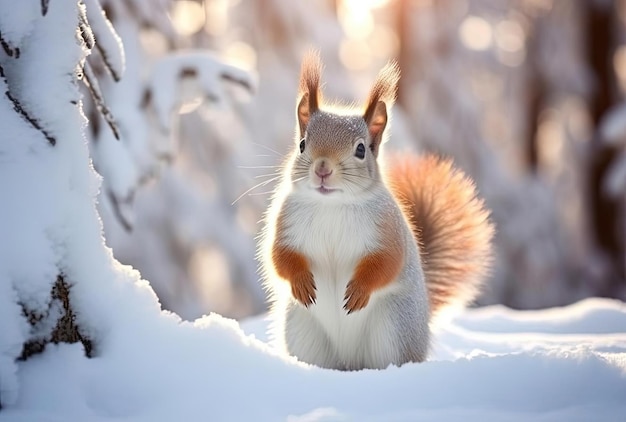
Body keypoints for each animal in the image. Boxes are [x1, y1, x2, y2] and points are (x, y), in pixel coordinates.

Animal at [258, 52, 492, 370]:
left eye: (361, 149)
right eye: (303, 144)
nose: (322, 169)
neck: (332, 205)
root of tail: (350, 361)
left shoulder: (387, 229)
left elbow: (387, 261)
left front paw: (359, 290)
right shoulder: (286, 224)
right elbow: (280, 256)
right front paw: (301, 281)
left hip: (393, 327)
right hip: (302, 328)